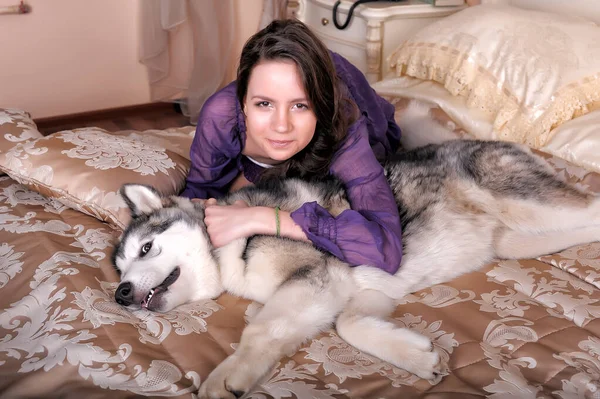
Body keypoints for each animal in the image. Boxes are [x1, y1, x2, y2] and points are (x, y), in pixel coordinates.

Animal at [111, 138, 600, 399]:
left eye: (147, 247)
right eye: (120, 268)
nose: (119, 293)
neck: (228, 243)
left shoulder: (314, 281)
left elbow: (260, 331)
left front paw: (227, 376)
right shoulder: (361, 289)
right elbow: (348, 324)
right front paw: (414, 355)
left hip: (525, 203)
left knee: (591, 204)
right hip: (520, 240)